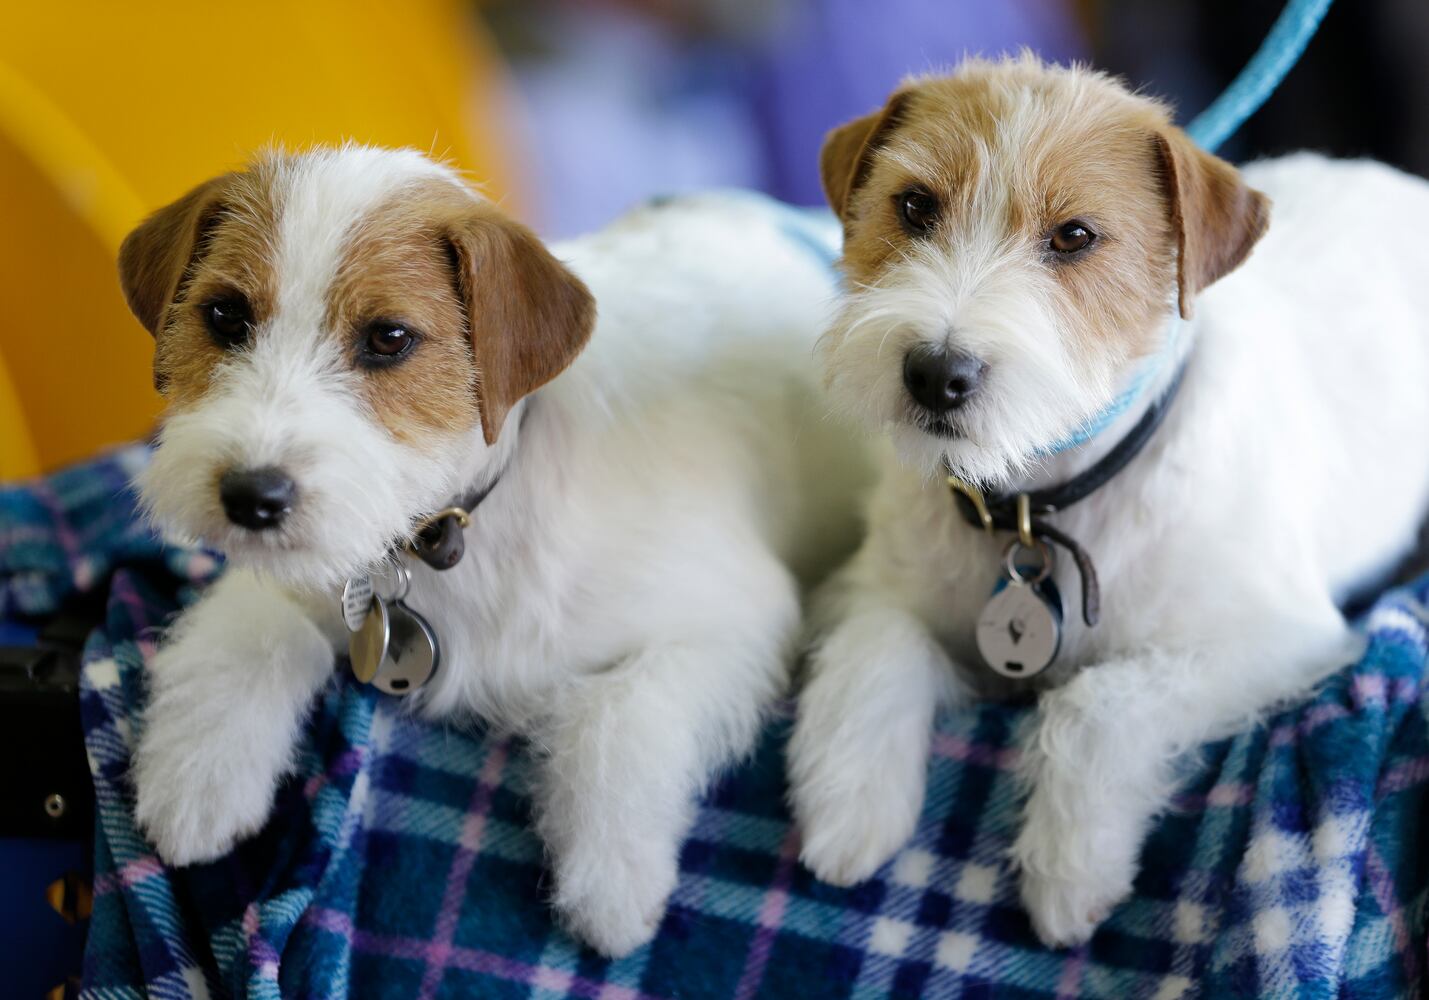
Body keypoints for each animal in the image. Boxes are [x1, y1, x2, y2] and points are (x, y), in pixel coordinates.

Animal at [117, 146, 857, 954]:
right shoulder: (316, 570)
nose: (250, 498)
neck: (450, 534)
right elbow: (249, 630)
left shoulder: (738, 617)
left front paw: (611, 878)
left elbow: (620, 711)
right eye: (225, 316)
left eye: (389, 338)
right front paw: (197, 778)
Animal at [788, 58, 1429, 948]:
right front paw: (850, 807)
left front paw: (1069, 868)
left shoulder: (1275, 637)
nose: (934, 374)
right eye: (913, 206)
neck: (1035, 504)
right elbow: (876, 649)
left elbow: (1096, 702)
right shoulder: (865, 585)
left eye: (1073, 237)